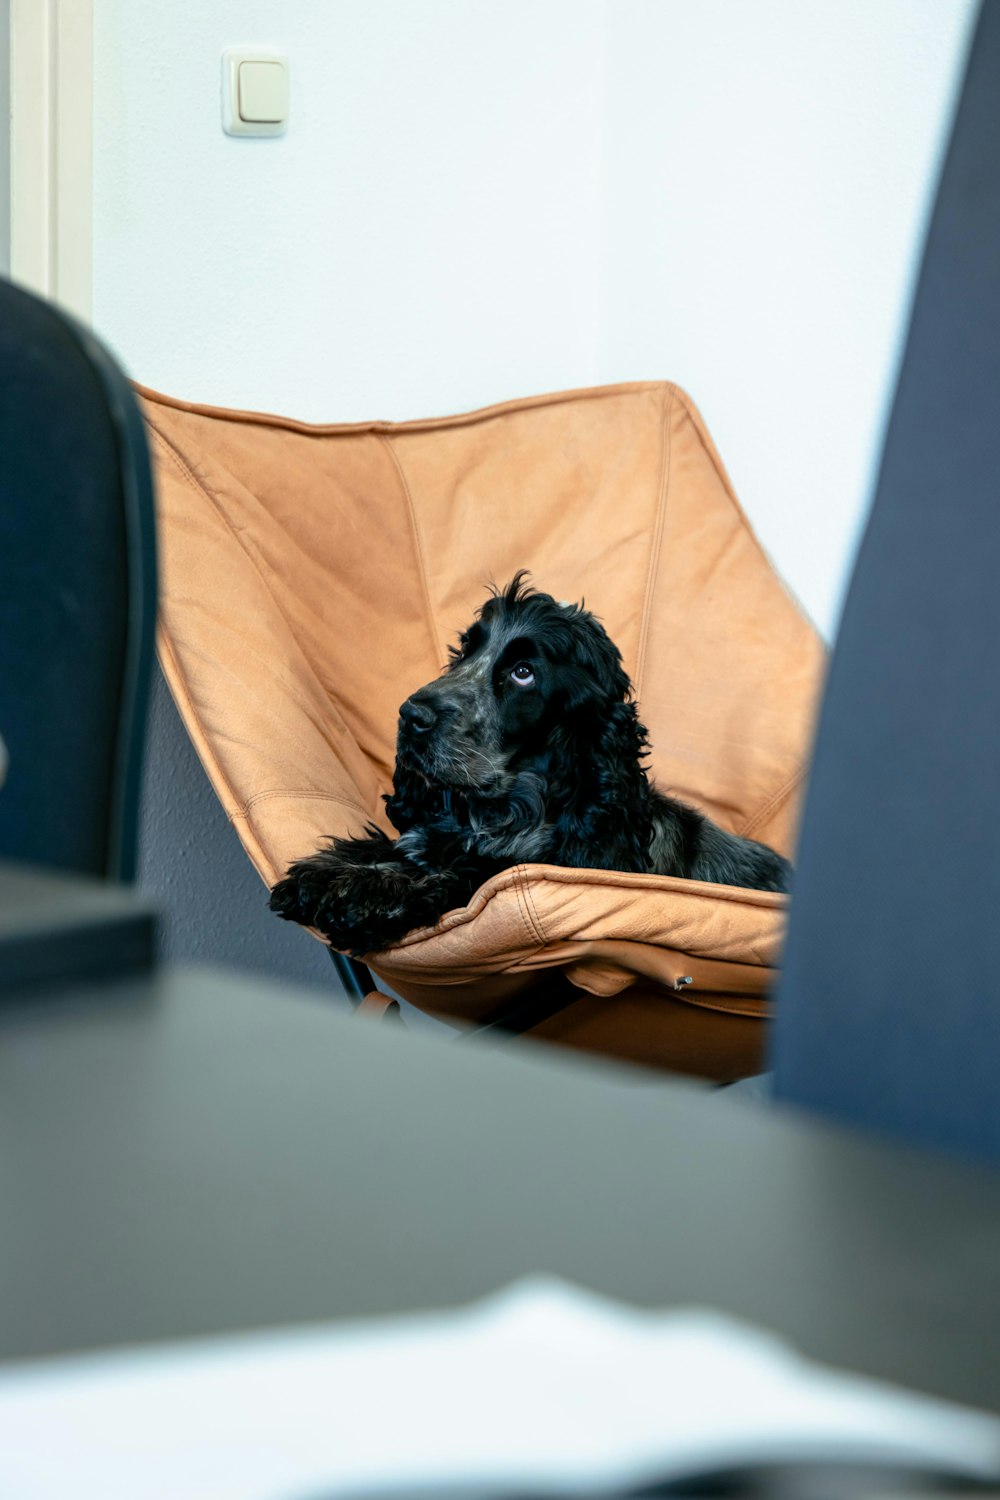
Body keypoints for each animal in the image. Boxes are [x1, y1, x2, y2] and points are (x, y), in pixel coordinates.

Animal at [271, 567, 791, 954]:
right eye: (466, 651)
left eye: (523, 673)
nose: (410, 715)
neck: (499, 814)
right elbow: (400, 847)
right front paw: (332, 869)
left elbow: (463, 874)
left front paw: (363, 894)